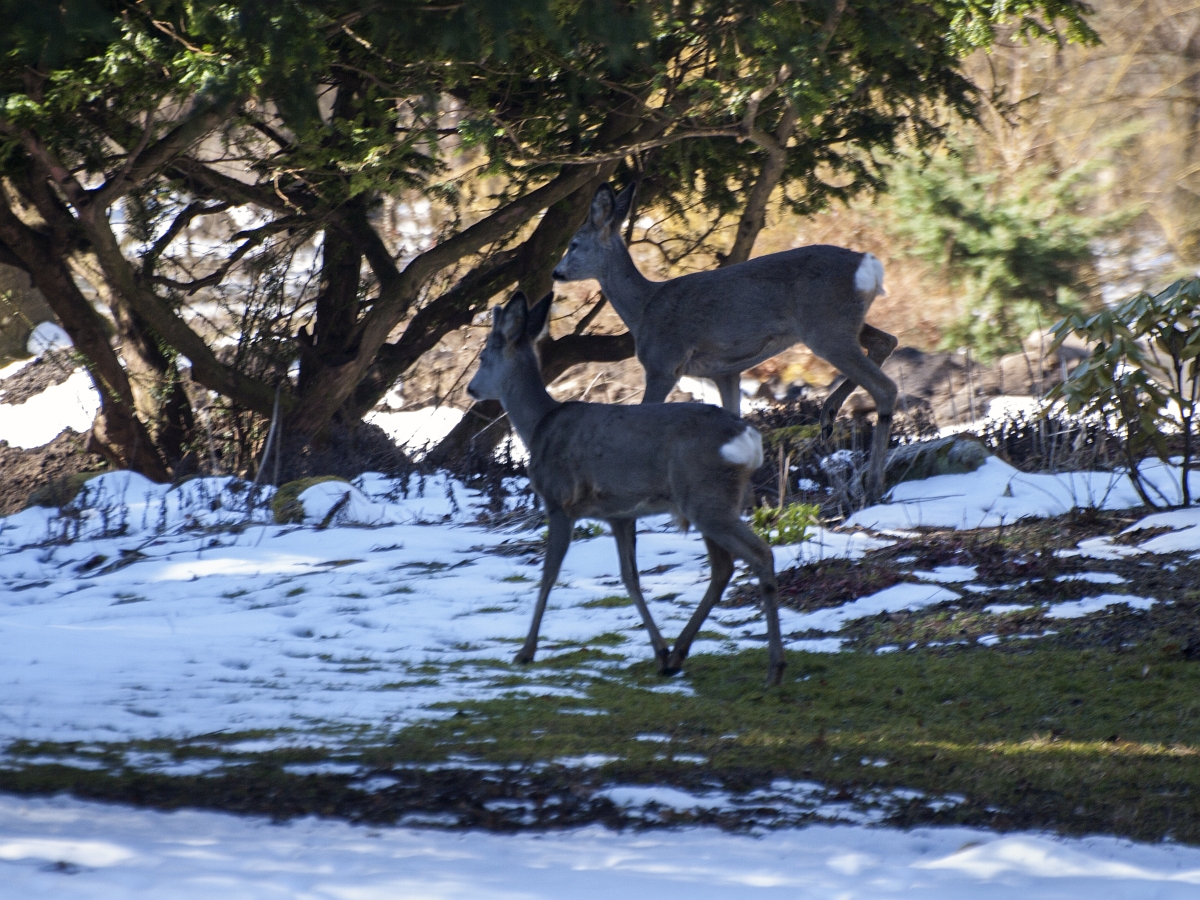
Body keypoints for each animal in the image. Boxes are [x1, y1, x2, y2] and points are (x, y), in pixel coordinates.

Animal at [468, 292, 787, 686]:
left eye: (483, 356)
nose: (471, 388)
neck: (539, 427)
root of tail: (747, 439)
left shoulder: (559, 501)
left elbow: (548, 575)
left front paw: (525, 652)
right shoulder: (619, 514)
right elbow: (630, 578)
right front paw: (659, 650)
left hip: (706, 498)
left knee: (759, 555)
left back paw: (774, 667)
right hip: (717, 500)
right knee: (723, 568)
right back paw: (677, 656)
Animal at [552, 183, 902, 501]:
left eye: (574, 244)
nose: (556, 272)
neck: (643, 309)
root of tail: (870, 266)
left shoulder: (663, 362)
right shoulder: (726, 372)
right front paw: (749, 506)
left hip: (826, 327)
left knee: (885, 386)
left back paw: (872, 484)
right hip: (840, 324)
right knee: (888, 341)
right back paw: (829, 417)